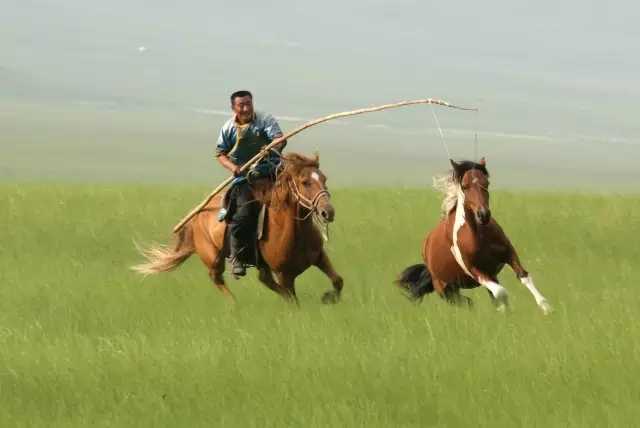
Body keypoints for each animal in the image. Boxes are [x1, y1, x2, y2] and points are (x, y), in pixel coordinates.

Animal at [133, 152, 344, 302]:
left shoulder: (319, 257)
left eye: (324, 179)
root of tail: (196, 215)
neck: (294, 232)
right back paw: (234, 305)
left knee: (264, 280)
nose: (328, 212)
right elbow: (293, 301)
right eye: (305, 182)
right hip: (213, 258)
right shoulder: (285, 275)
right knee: (217, 278)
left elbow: (338, 281)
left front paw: (328, 298)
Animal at [396, 159, 552, 312]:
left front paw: (546, 307)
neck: (479, 236)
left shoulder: (508, 254)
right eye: (464, 186)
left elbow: (524, 276)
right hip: (445, 290)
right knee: (467, 302)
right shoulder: (474, 271)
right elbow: (501, 292)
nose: (483, 215)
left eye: (486, 183)